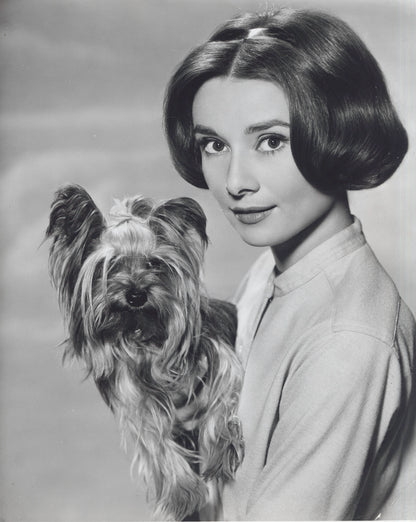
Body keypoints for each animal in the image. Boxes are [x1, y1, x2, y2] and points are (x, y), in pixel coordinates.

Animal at [46, 185, 244, 516]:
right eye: (110, 266)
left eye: (154, 263)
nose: (136, 294)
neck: (143, 333)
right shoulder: (135, 401)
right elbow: (157, 442)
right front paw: (182, 491)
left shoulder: (219, 355)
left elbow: (222, 397)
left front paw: (220, 449)